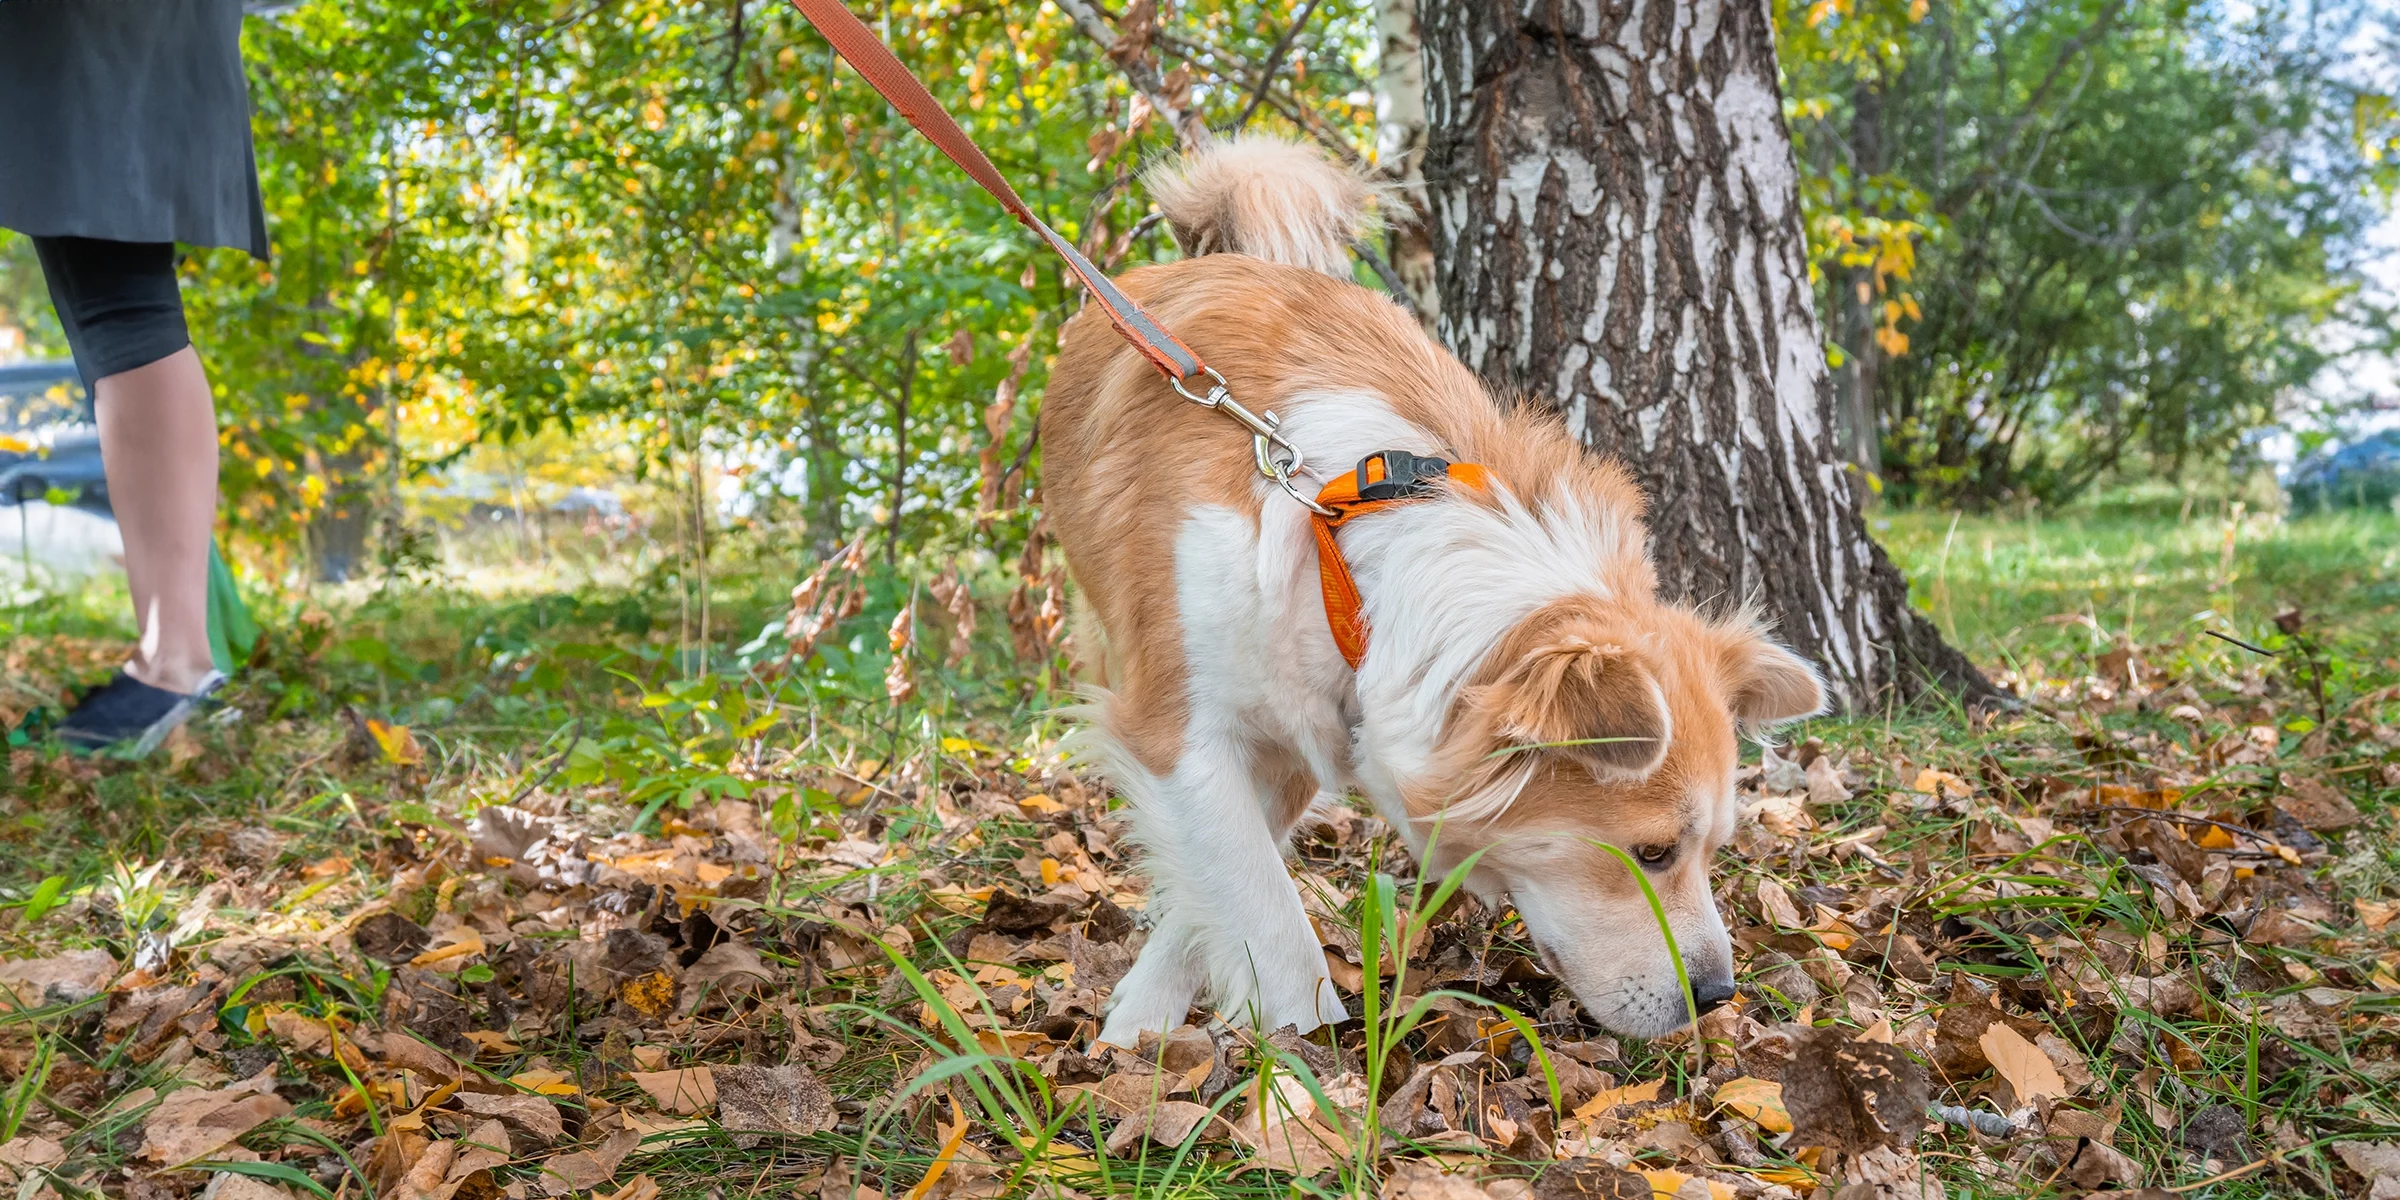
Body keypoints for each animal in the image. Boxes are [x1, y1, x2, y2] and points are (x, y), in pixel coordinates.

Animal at [1041, 136, 1824, 1046]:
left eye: (1712, 849)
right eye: (1654, 852)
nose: (1718, 996)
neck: (1347, 545)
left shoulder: (1311, 726)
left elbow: (1228, 884)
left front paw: (1143, 1023)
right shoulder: (1178, 732)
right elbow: (1270, 923)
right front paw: (1307, 1062)